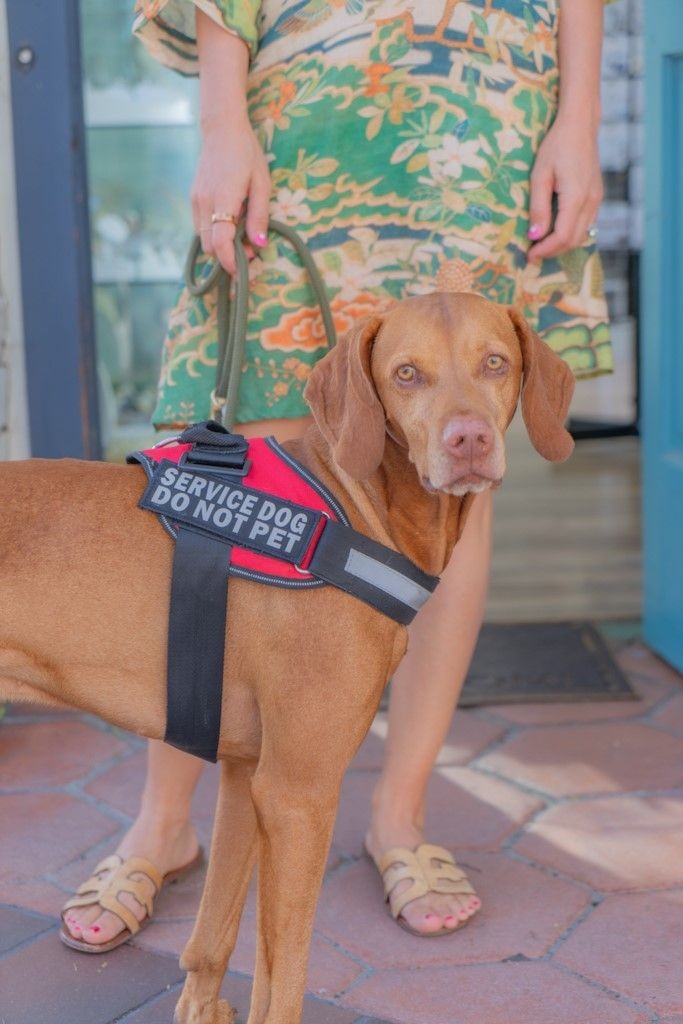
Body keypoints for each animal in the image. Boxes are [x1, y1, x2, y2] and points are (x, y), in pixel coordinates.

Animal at [0, 292, 573, 1019]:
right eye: (406, 374)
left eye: (495, 363)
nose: (467, 440)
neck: (354, 508)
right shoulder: (300, 792)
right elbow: (288, 977)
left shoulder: (249, 775)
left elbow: (220, 938)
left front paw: (203, 1007)